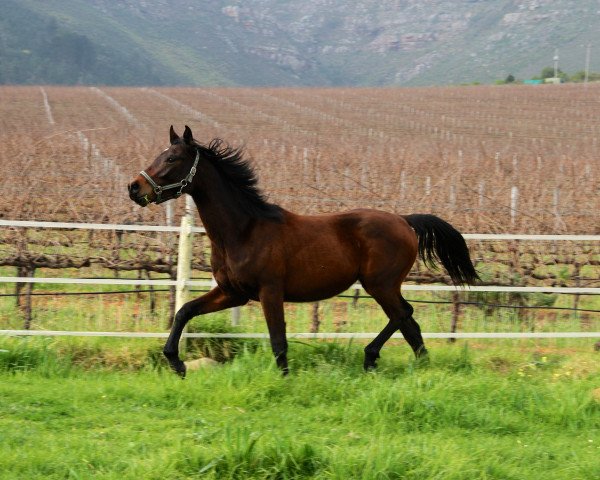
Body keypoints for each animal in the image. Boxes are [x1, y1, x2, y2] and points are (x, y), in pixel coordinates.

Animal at [129, 125, 480, 376]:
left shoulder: (270, 291)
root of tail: (405, 221)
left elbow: (278, 340)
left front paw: (285, 379)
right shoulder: (233, 293)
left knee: (403, 314)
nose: (134, 187)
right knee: (409, 323)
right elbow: (184, 311)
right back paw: (419, 366)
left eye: (172, 159)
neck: (242, 230)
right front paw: (176, 363)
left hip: (380, 284)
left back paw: (372, 357)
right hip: (383, 286)